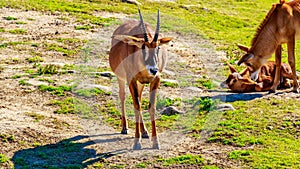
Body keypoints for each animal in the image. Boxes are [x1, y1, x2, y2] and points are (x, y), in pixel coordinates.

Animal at [109, 8, 172, 149]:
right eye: (143, 47)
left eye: (158, 47)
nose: (153, 69)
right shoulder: (131, 79)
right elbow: (136, 106)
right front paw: (136, 142)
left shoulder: (156, 79)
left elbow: (151, 107)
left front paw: (155, 142)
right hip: (121, 78)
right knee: (123, 96)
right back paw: (125, 128)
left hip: (141, 83)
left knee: (140, 99)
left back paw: (144, 132)